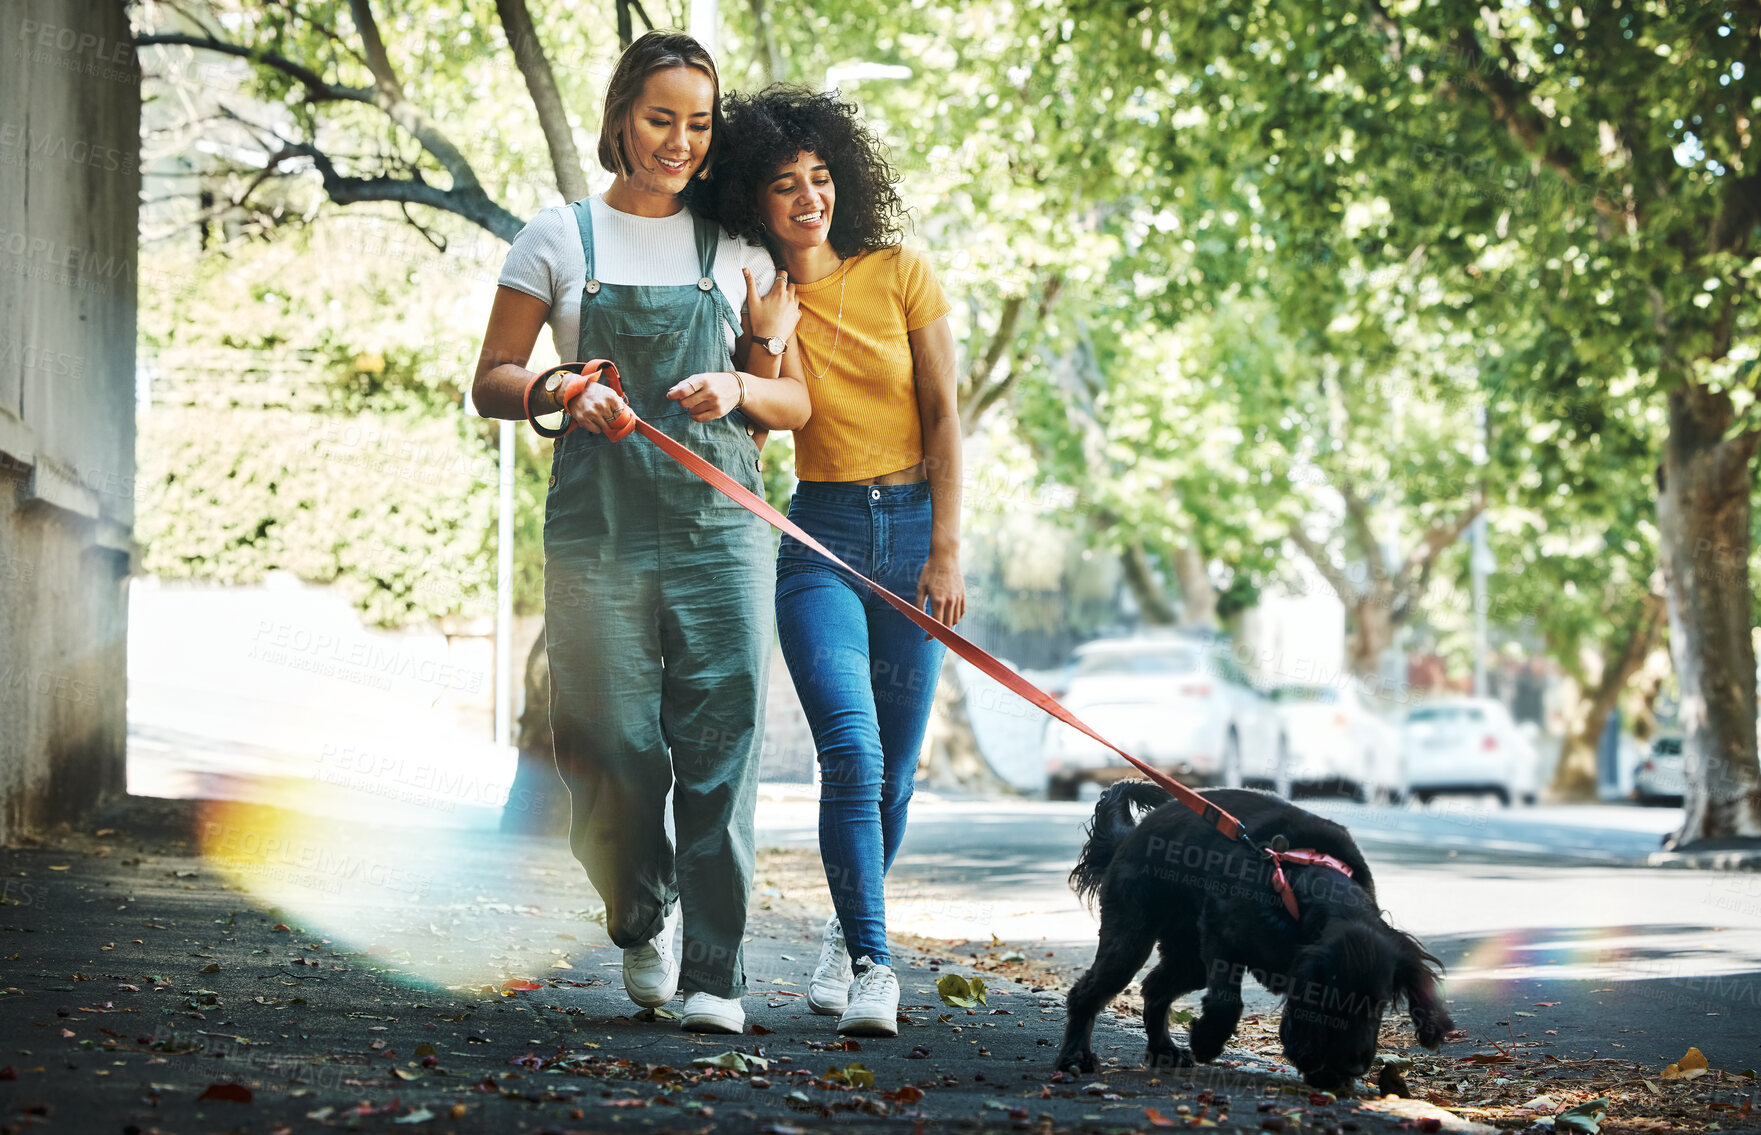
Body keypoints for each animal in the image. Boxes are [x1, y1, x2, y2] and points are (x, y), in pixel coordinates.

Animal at [1049, 777, 1451, 1091]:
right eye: (1327, 1002)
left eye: (1379, 1005)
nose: (1352, 1067)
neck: (1297, 883)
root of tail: (1129, 836)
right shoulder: (1223, 936)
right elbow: (1227, 1002)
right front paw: (1207, 1040)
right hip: (1130, 940)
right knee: (1087, 992)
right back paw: (1074, 1057)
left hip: (1189, 959)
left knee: (1154, 989)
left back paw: (1164, 1050)